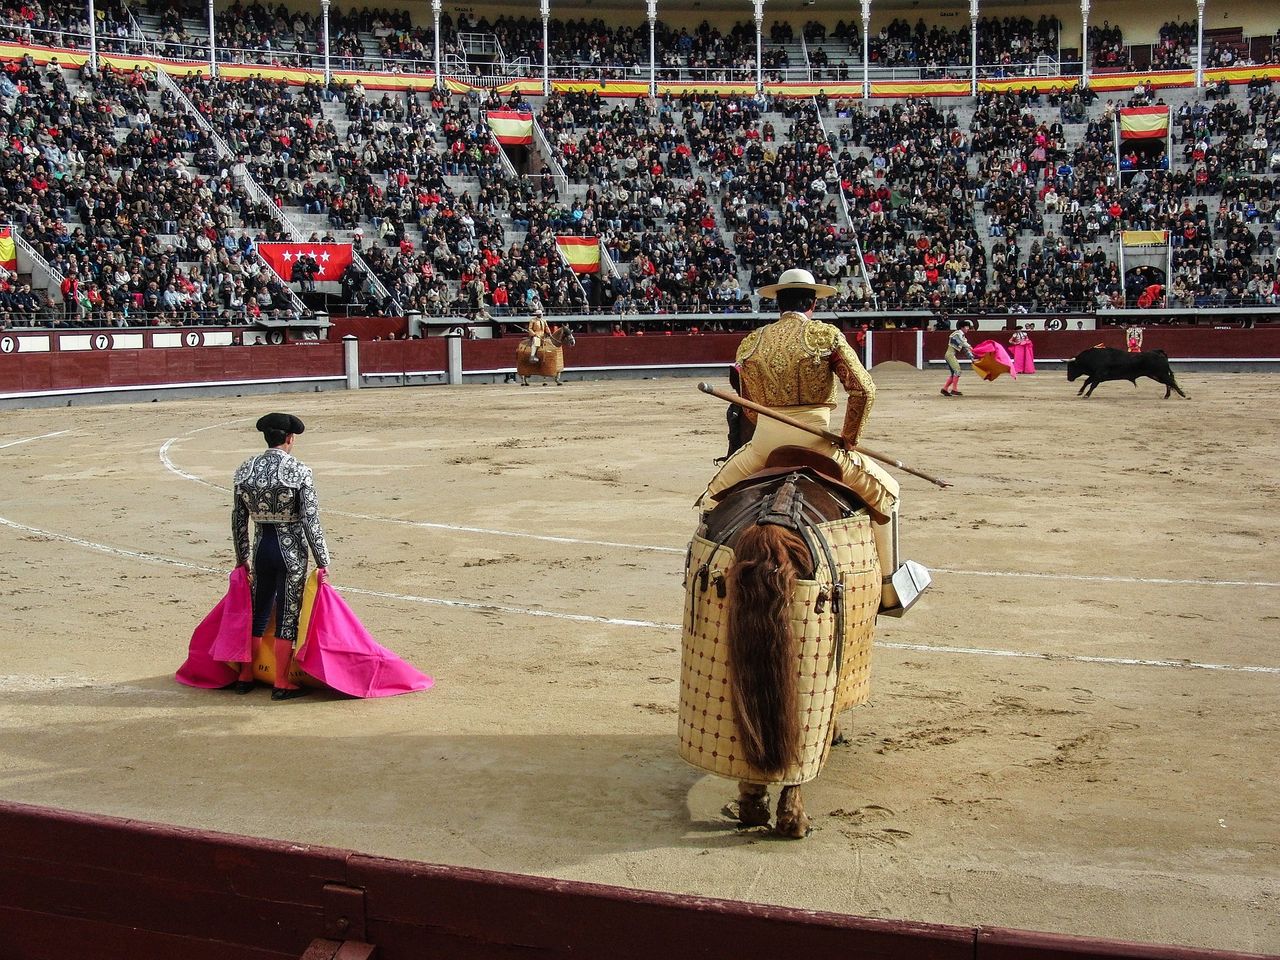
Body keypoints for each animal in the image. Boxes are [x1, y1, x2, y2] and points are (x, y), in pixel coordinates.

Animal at [1059, 350, 1187, 399]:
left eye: (1071, 367)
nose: (1069, 378)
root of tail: (1159, 352)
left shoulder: (1099, 375)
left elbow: (1092, 385)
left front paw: (1086, 395)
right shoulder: (1095, 375)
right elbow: (1087, 382)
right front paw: (1080, 392)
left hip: (1160, 373)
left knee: (1170, 382)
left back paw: (1183, 394)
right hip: (1156, 375)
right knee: (1168, 383)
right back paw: (1167, 395)